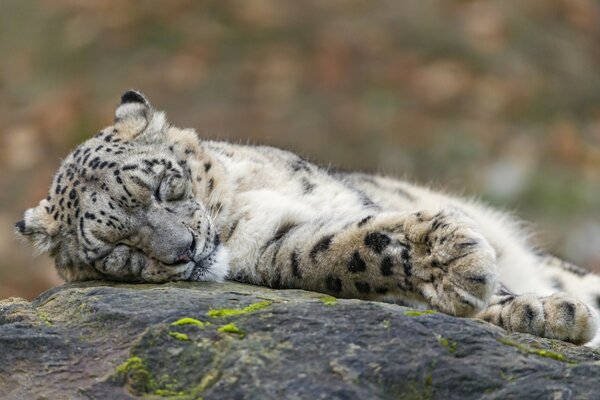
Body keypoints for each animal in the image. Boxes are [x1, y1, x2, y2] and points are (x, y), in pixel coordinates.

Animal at [14, 89, 600, 346]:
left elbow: (373, 221)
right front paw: (473, 273)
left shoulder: (343, 199)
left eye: (164, 186)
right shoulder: (283, 249)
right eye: (120, 250)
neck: (242, 202)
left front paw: (535, 303)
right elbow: (350, 249)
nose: (185, 250)